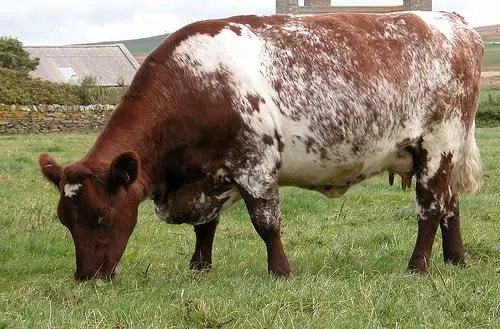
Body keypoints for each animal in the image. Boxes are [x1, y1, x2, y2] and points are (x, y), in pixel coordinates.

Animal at [37, 10, 482, 280]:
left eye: (101, 216)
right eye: (64, 220)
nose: (86, 277)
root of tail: (452, 22)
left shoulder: (254, 163)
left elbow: (266, 223)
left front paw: (280, 271)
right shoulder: (208, 175)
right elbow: (205, 226)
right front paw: (199, 267)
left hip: (438, 143)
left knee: (430, 208)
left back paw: (418, 266)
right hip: (443, 153)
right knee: (451, 204)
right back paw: (457, 260)